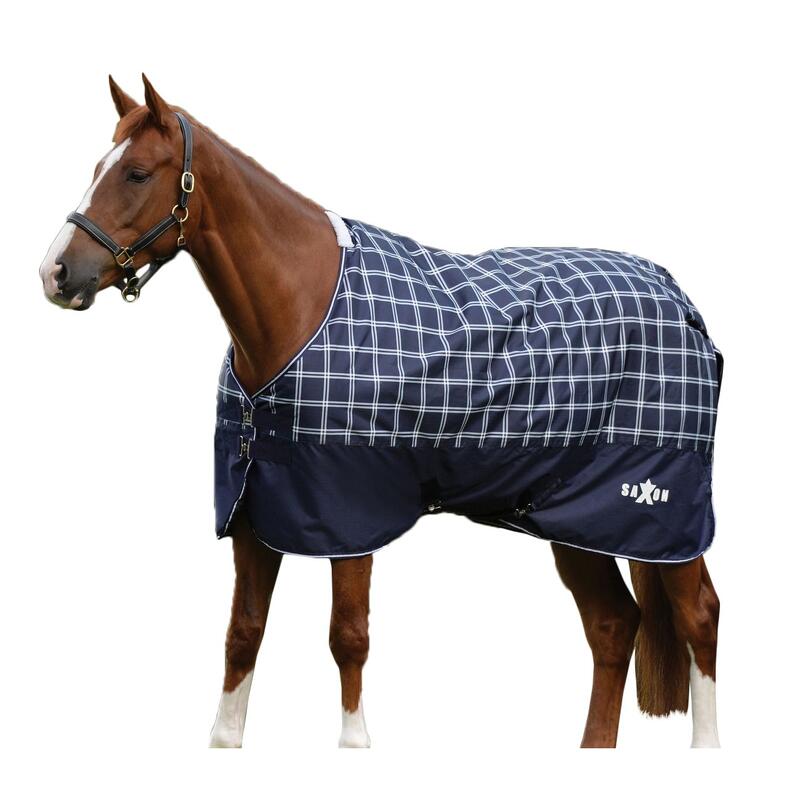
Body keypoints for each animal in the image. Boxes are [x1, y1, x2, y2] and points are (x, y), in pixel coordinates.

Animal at [39, 74, 721, 749]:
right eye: (98, 167)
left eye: (136, 174)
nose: (55, 273)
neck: (302, 306)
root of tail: (678, 298)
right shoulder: (255, 511)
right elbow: (243, 636)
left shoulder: (350, 511)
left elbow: (348, 637)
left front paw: (354, 742)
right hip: (572, 514)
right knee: (613, 625)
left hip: (659, 514)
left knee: (698, 617)